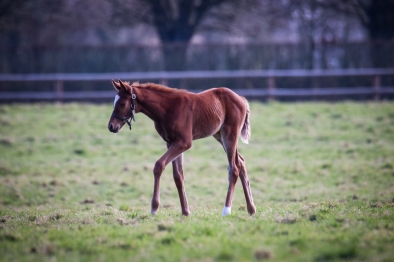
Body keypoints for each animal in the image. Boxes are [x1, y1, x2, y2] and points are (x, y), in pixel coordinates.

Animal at [107, 80, 255, 217]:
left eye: (122, 103)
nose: (111, 126)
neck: (167, 108)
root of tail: (240, 98)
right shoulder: (171, 142)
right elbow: (178, 175)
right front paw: (185, 211)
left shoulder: (184, 143)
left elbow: (159, 165)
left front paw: (154, 208)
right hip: (219, 135)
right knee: (241, 162)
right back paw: (251, 209)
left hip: (229, 134)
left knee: (234, 167)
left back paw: (226, 210)